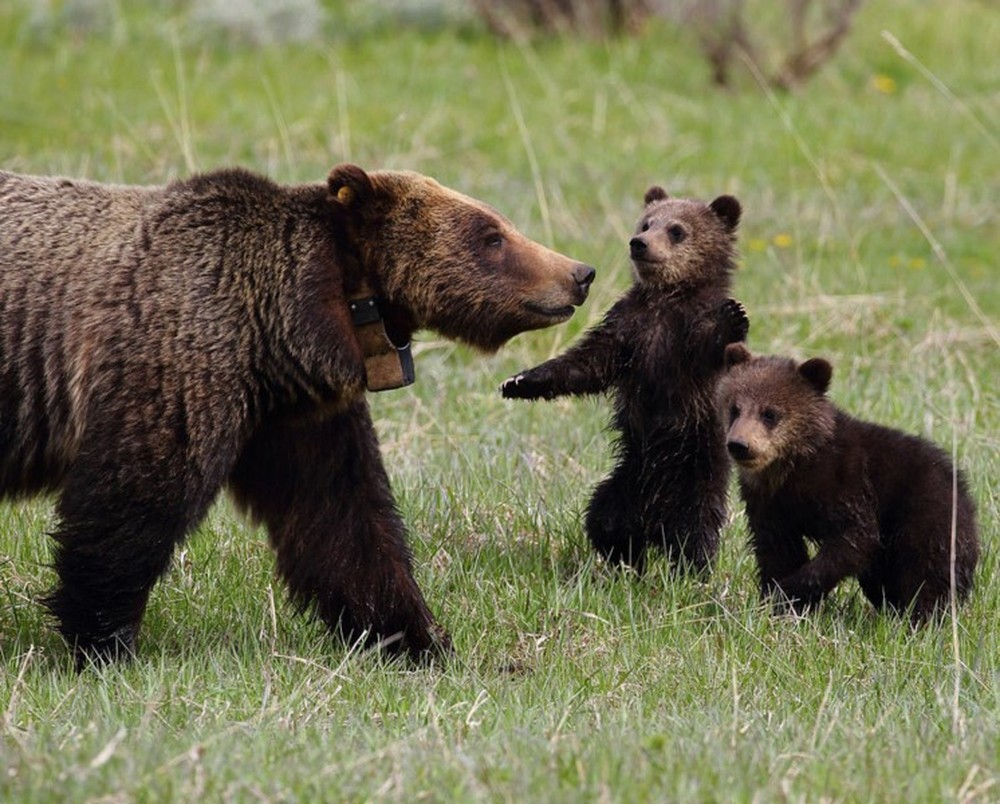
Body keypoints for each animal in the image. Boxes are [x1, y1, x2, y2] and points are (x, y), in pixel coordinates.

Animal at [0, 163, 592, 664]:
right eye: (490, 235)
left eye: (500, 224)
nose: (579, 272)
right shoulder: (178, 361)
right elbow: (133, 501)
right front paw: (103, 640)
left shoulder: (298, 415)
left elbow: (343, 522)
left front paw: (418, 639)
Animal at [504, 188, 748, 572]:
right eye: (647, 223)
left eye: (676, 230)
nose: (639, 244)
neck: (665, 301)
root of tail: (654, 521)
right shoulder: (629, 330)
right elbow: (585, 364)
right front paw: (519, 381)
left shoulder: (683, 343)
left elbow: (707, 346)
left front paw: (733, 316)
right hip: (626, 481)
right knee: (606, 520)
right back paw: (627, 563)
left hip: (696, 475)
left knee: (694, 533)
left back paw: (689, 571)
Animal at [716, 344, 980, 620]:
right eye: (734, 407)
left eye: (770, 413)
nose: (739, 445)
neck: (794, 467)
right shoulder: (769, 504)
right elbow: (777, 550)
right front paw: (779, 601)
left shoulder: (848, 482)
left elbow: (854, 540)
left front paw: (792, 590)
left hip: (927, 513)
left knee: (927, 572)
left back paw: (920, 617)